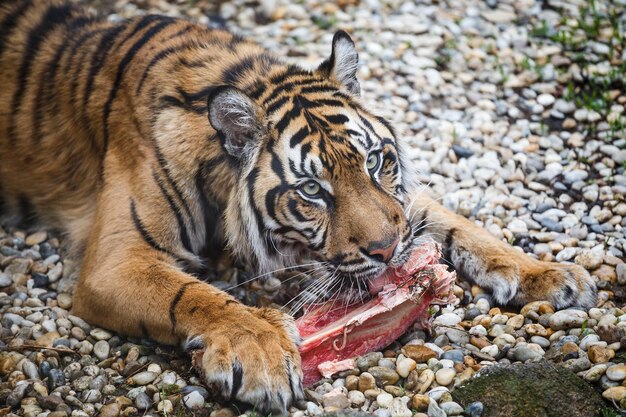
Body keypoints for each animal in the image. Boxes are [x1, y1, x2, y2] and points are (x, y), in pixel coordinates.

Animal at [0, 1, 596, 414]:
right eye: (312, 191)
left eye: (375, 160)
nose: (388, 252)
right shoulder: (117, 260)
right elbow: (195, 294)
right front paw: (260, 352)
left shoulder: (404, 207)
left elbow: (460, 225)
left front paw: (548, 274)